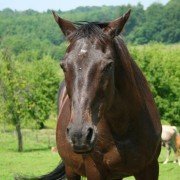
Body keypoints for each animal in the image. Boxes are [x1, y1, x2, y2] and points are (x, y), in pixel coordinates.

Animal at [17, 9, 162, 180]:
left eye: (108, 65)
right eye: (63, 65)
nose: (79, 134)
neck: (123, 128)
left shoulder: (150, 168)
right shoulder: (94, 170)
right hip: (71, 169)